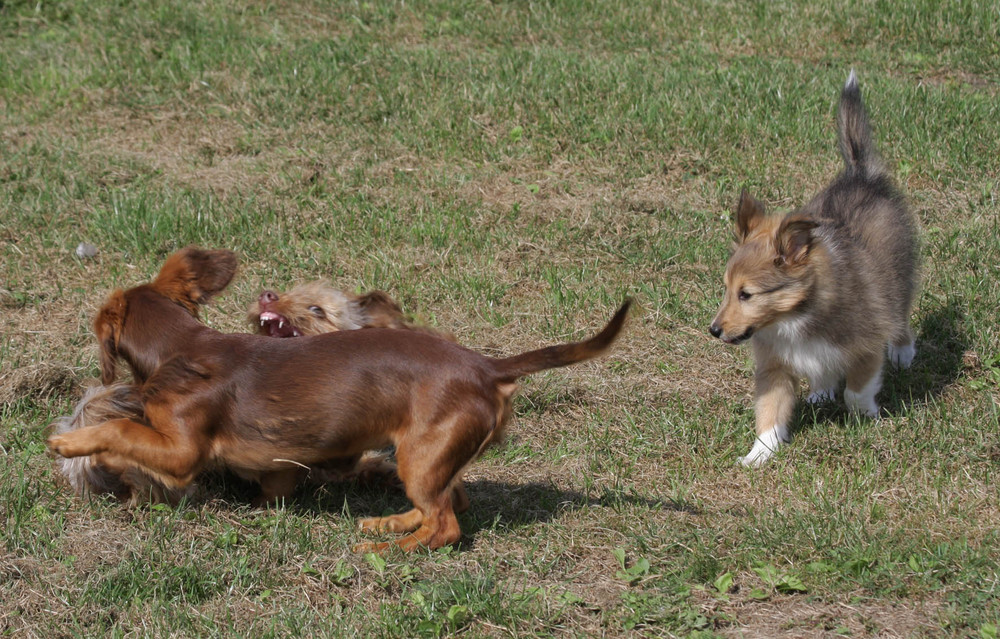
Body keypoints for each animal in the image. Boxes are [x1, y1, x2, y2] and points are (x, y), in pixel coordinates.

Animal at [50, 248, 628, 552]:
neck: (182, 347)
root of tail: (488, 366)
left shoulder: (182, 452)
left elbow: (121, 431)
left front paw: (72, 443)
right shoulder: (277, 466)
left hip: (422, 454)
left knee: (447, 524)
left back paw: (390, 548)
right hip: (430, 456)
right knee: (451, 502)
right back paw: (387, 523)